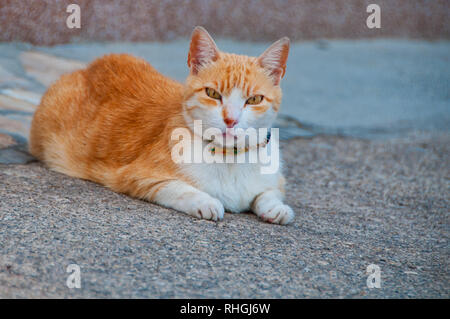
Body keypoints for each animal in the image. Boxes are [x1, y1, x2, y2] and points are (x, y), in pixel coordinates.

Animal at [29, 26, 296, 225]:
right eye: (212, 93)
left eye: (254, 99)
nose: (231, 119)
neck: (230, 159)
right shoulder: (137, 177)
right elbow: (180, 188)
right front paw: (205, 201)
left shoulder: (276, 182)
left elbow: (269, 193)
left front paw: (277, 208)